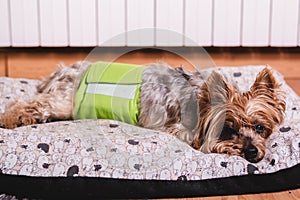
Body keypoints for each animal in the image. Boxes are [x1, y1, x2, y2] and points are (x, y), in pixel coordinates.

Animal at [0, 61, 286, 163]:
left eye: (260, 127)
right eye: (228, 130)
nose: (253, 152)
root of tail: (64, 69)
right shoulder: (179, 130)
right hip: (66, 102)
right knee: (29, 104)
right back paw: (10, 118)